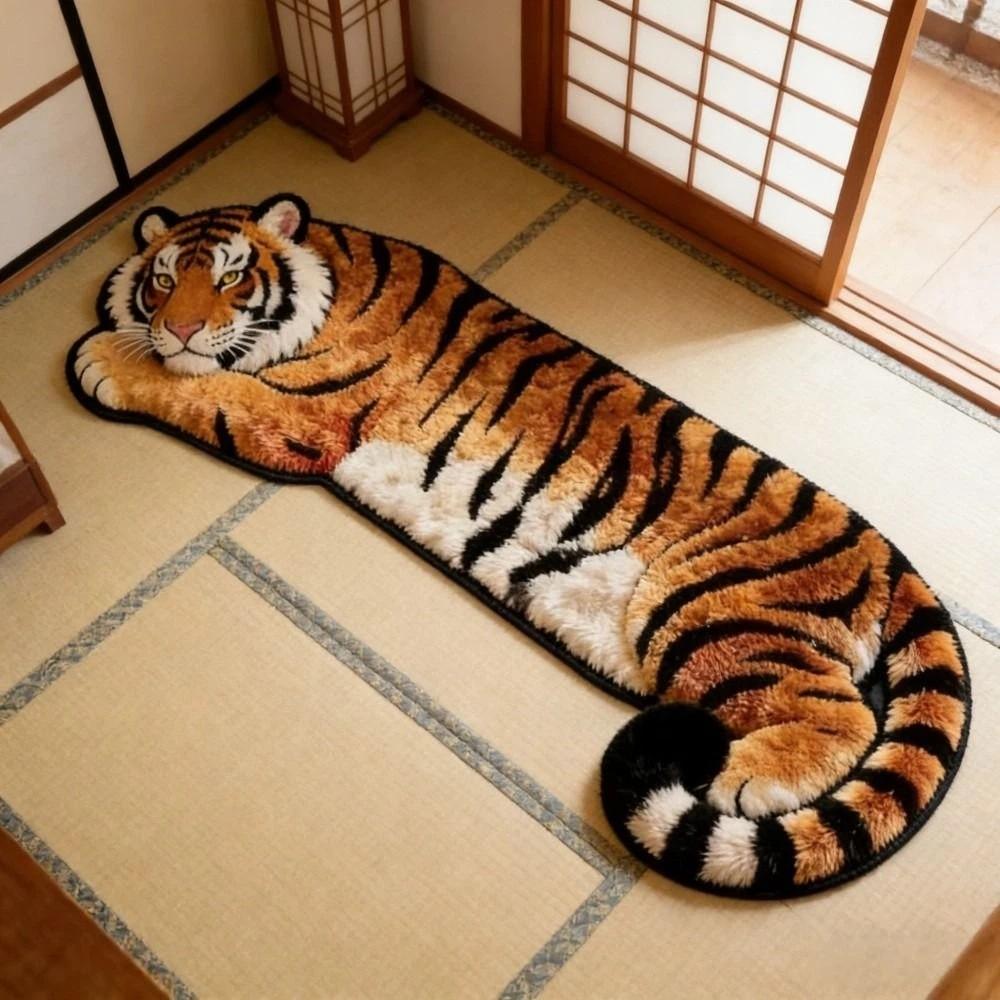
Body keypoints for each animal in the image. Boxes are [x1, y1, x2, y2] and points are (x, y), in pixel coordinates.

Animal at [68, 193, 970, 897]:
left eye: (230, 276)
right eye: (160, 278)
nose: (181, 326)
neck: (329, 273)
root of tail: (889, 558)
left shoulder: (299, 419)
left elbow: (199, 388)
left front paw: (104, 358)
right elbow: (195, 377)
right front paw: (133, 344)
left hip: (709, 605)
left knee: (840, 712)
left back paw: (746, 778)